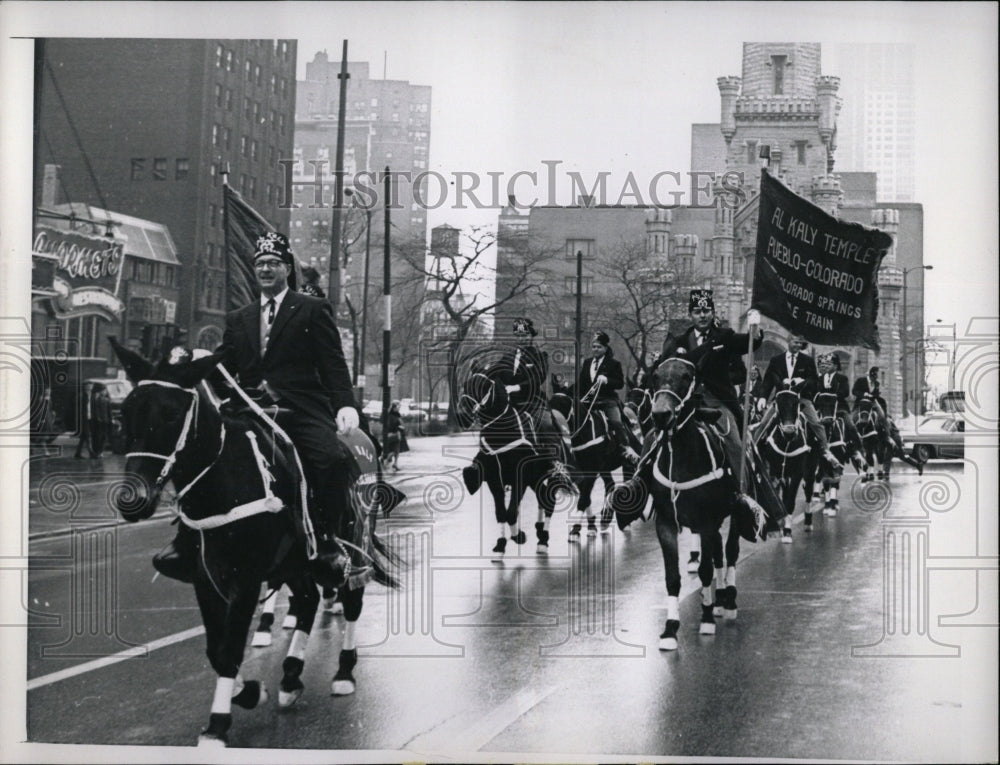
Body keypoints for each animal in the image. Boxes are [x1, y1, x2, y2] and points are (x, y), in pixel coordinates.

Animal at [105, 342, 394, 748]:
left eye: (172, 412)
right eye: (127, 410)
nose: (133, 501)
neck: (223, 481)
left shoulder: (246, 579)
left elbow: (228, 648)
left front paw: (218, 723)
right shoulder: (206, 578)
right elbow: (215, 649)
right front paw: (251, 692)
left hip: (353, 544)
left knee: (351, 602)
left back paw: (343, 672)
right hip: (295, 560)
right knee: (307, 601)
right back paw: (290, 676)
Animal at [458, 370, 576, 556]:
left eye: (482, 387)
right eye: (465, 385)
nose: (462, 416)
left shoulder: (520, 478)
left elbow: (511, 512)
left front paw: (518, 536)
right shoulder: (495, 481)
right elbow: (501, 513)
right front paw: (500, 545)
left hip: (552, 475)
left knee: (548, 501)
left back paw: (543, 540)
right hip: (535, 478)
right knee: (542, 496)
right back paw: (539, 529)